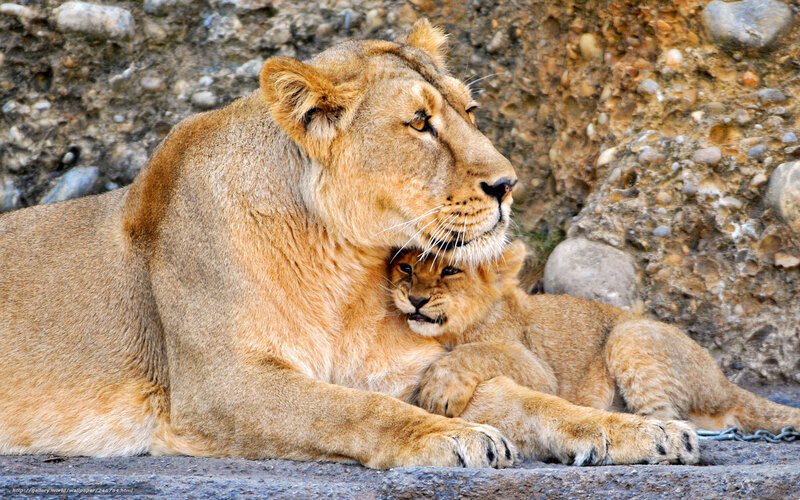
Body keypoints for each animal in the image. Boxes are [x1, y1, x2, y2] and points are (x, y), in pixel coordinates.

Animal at [0, 20, 697, 468]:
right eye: (420, 123)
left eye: (469, 111)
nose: (508, 184)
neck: (344, 270)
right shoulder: (220, 386)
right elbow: (349, 410)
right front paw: (449, 439)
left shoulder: (413, 372)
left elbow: (532, 400)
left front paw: (645, 430)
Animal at [389, 240, 800, 439]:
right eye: (406, 267)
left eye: (450, 270)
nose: (416, 299)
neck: (451, 330)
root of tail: (724, 383)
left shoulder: (540, 372)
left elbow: (481, 350)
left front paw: (441, 388)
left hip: (629, 334)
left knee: (672, 418)